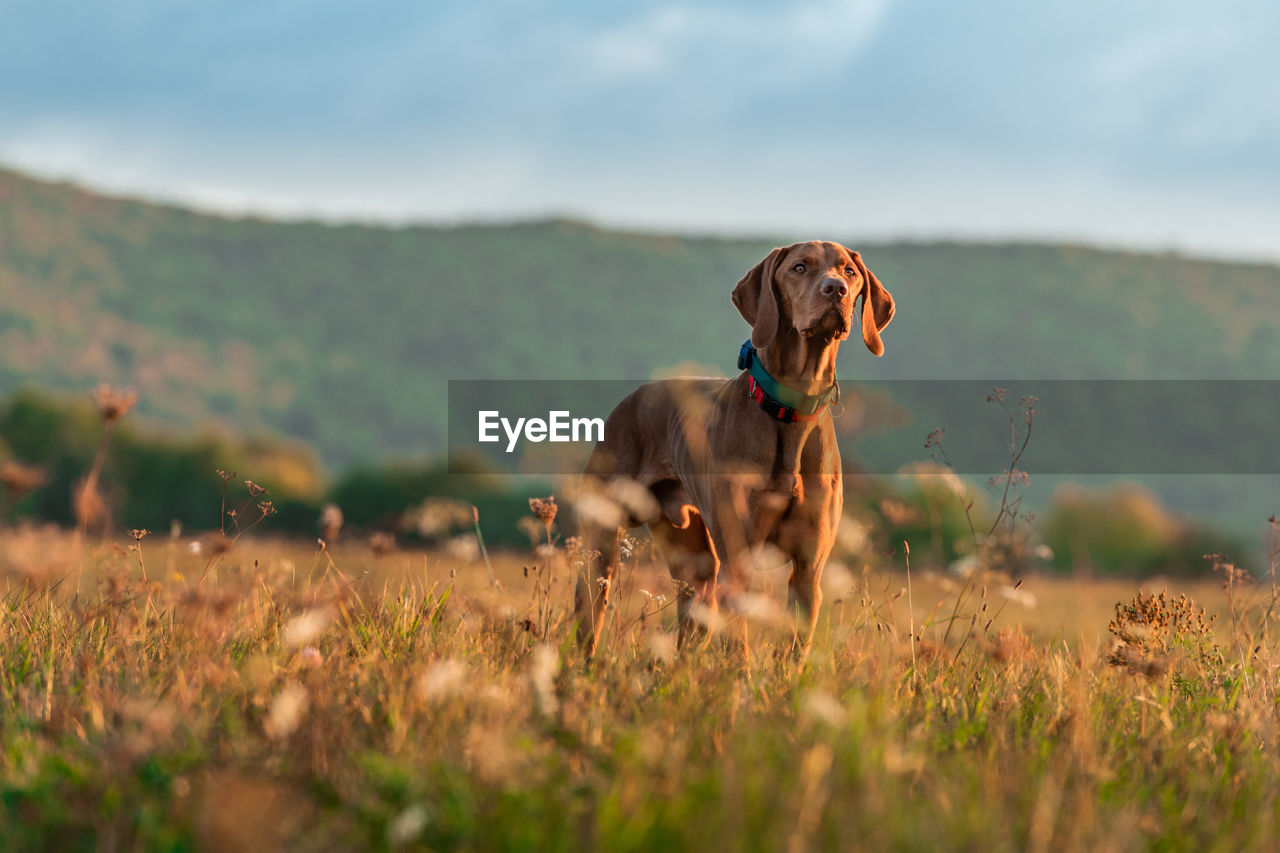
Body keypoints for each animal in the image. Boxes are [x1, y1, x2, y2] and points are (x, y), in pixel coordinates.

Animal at [576, 242, 896, 653]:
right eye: (799, 267)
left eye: (849, 272)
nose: (835, 289)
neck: (792, 408)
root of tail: (633, 396)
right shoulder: (739, 562)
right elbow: (738, 647)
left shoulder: (808, 570)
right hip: (602, 544)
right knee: (589, 613)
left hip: (694, 561)